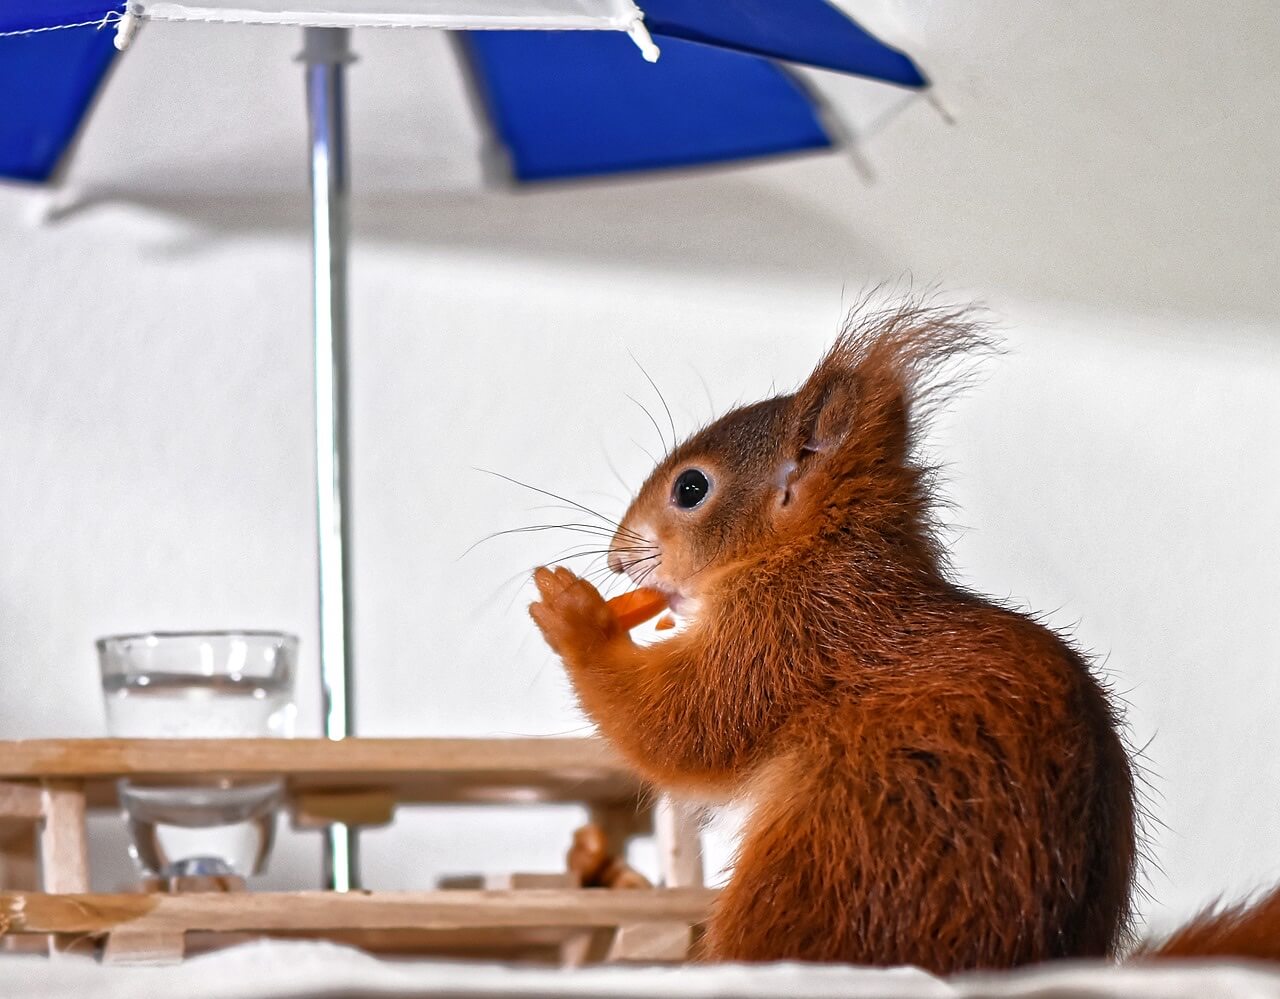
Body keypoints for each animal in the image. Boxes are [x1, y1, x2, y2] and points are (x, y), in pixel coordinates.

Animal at [527, 300, 1280, 973]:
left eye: (690, 488)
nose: (617, 561)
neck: (815, 553)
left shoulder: (794, 636)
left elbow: (689, 724)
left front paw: (577, 617)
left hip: (823, 866)